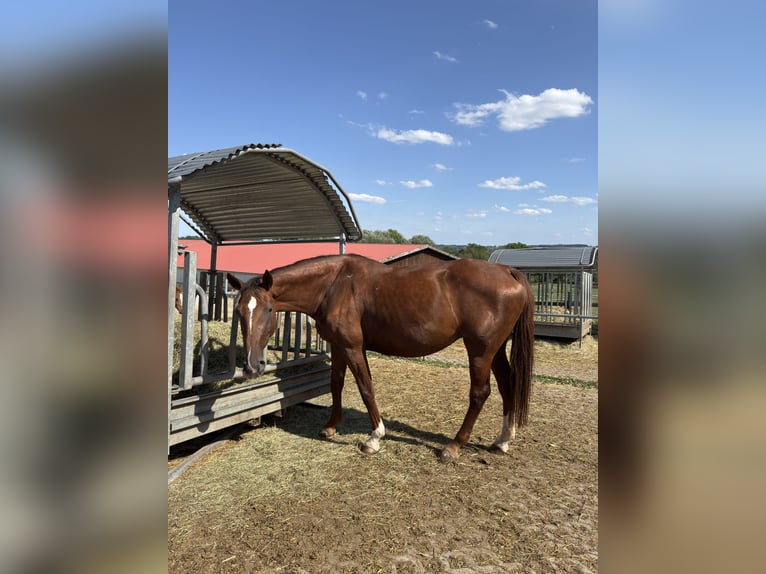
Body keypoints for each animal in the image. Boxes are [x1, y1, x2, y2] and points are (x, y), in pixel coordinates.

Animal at [227, 254, 534, 462]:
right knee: (507, 386)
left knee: (480, 393)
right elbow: (336, 384)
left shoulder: (353, 347)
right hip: (495, 350)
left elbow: (366, 388)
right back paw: (502, 441)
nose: (252, 366)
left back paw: (454, 446)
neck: (333, 285)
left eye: (268, 310)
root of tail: (507, 271)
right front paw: (330, 427)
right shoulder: (338, 346)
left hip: (480, 351)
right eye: (239, 311)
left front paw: (374, 438)